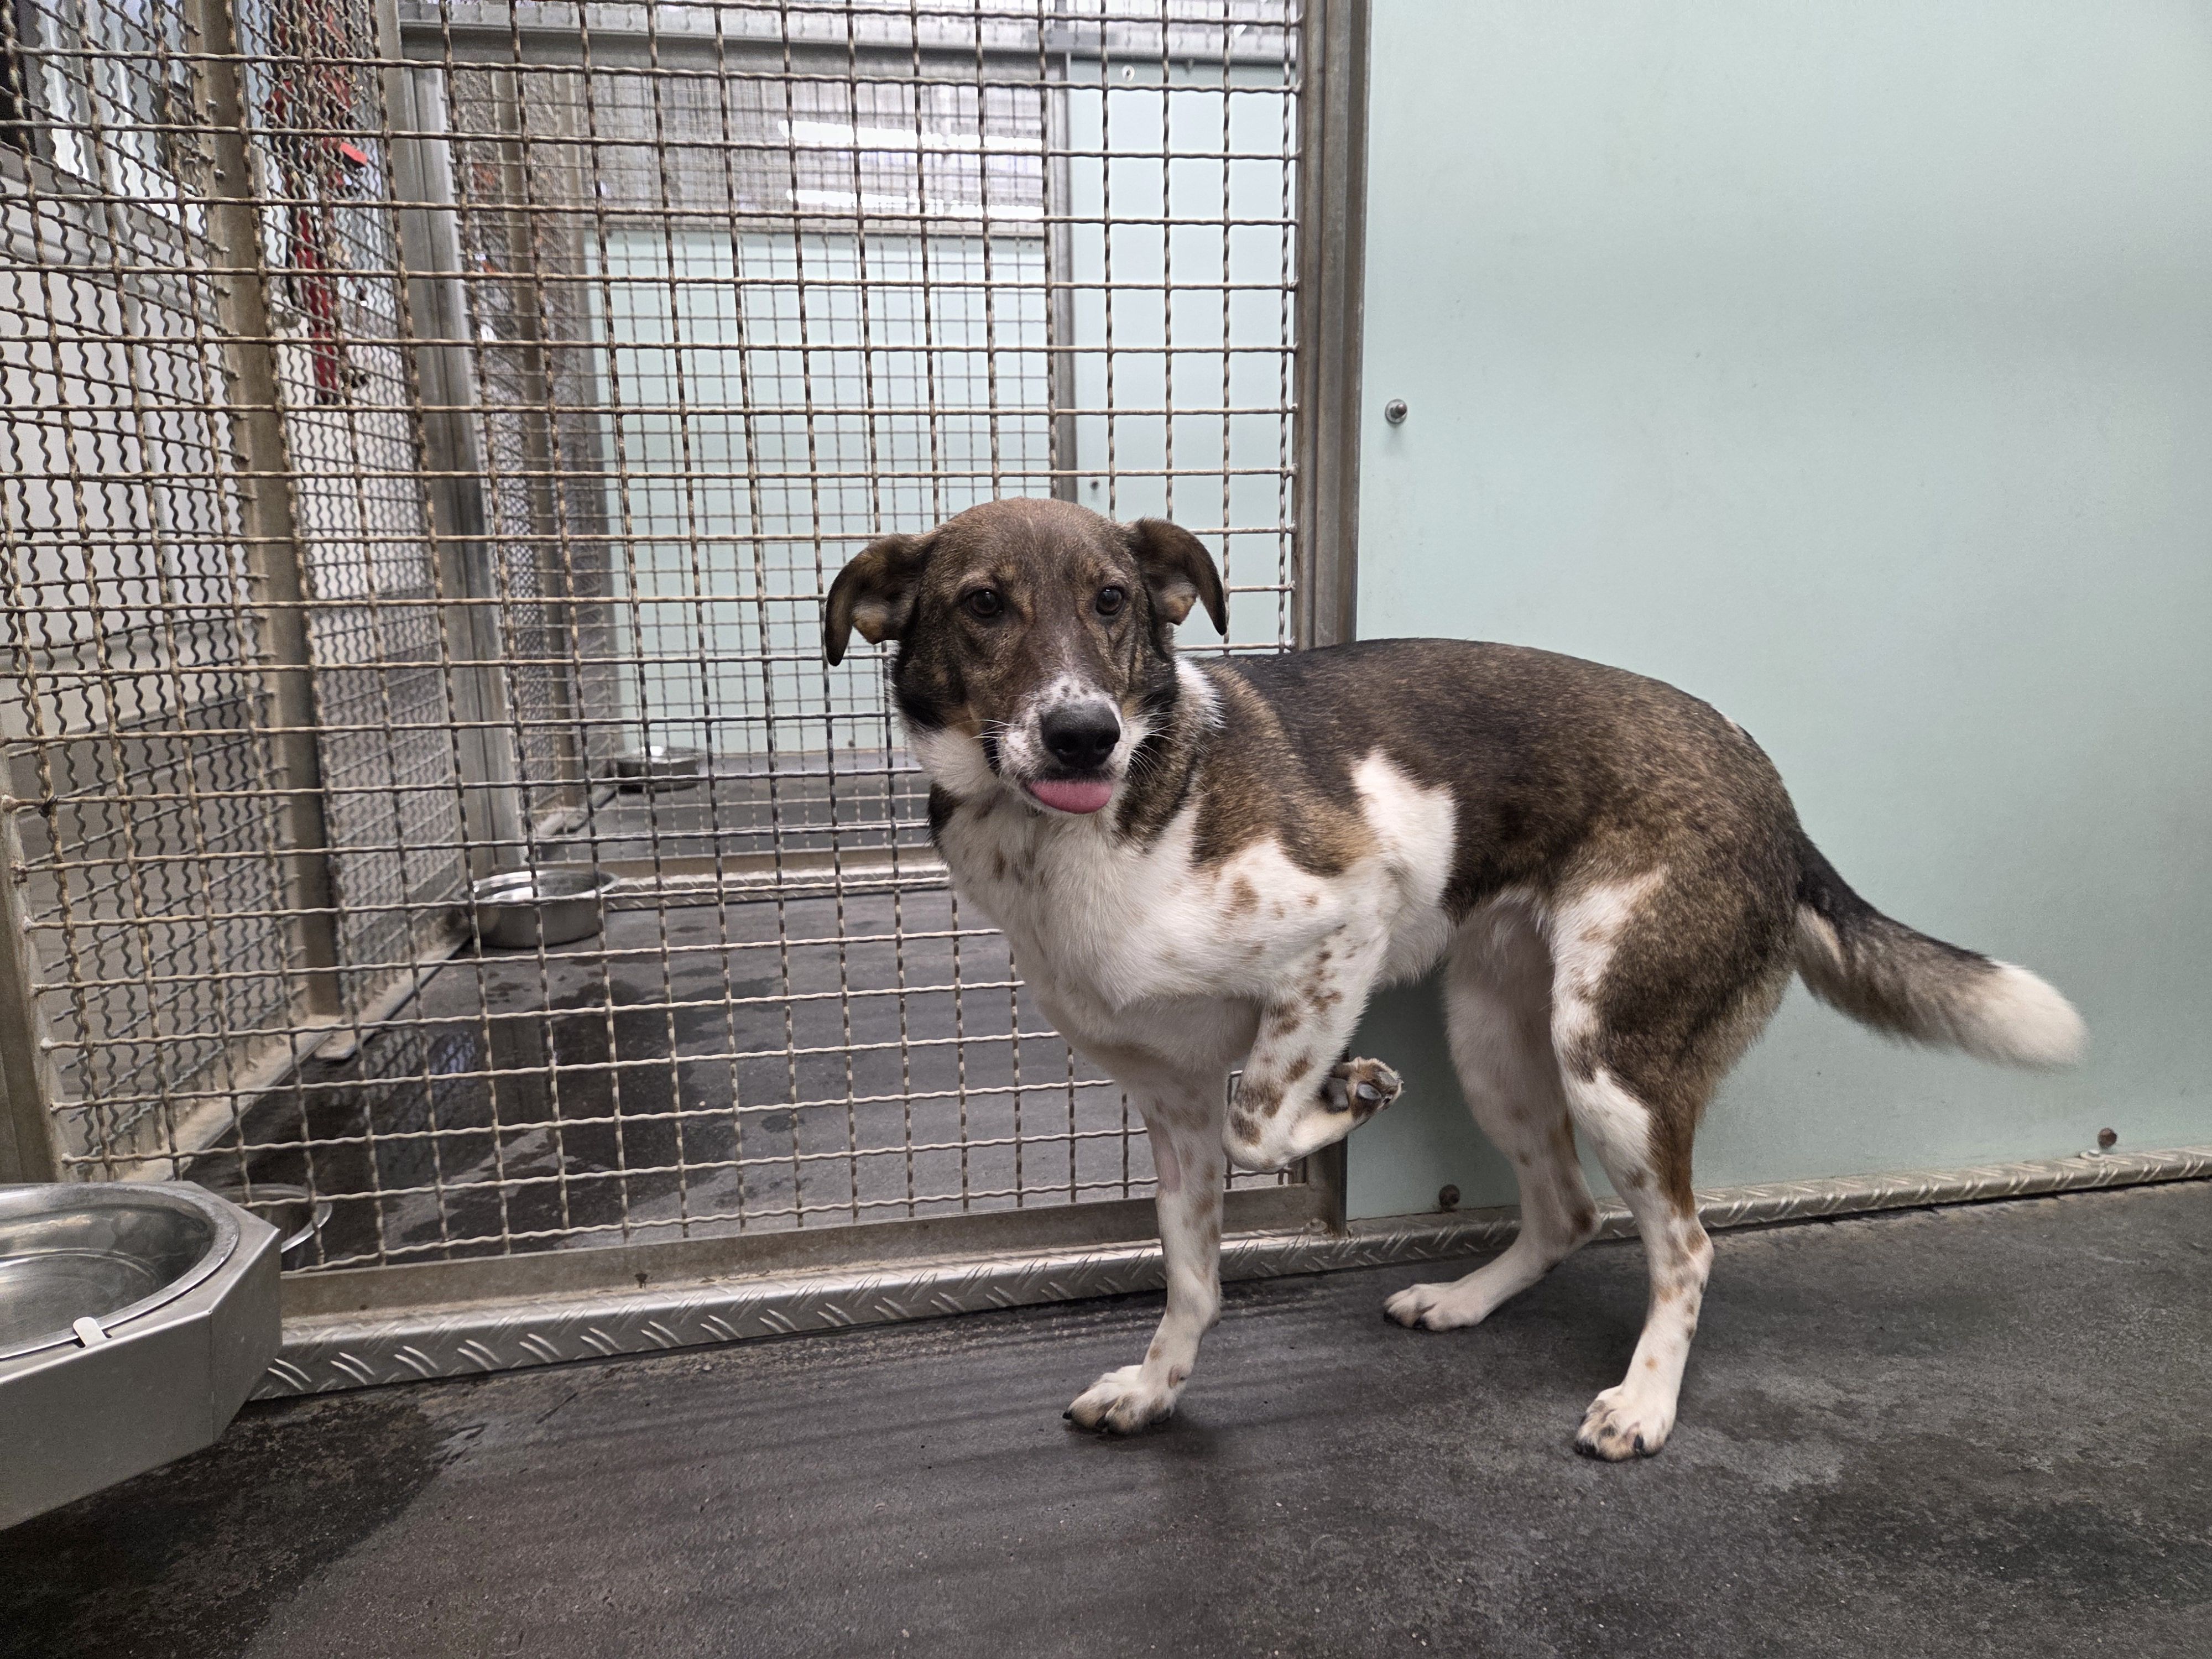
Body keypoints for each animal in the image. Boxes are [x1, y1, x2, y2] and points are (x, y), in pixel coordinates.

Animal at [822, 497, 2086, 1459]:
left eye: (1112, 603)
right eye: (983, 604)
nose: (1084, 734)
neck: (1077, 836)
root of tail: (1772, 794)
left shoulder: (1346, 916)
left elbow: (1261, 1114)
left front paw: (1351, 1094)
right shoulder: (1167, 1107)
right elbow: (1190, 1276)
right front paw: (1154, 1389)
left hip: (1611, 1060)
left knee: (1684, 1245)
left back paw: (1643, 1401)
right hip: (1497, 1044)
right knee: (1567, 1210)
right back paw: (1463, 1301)